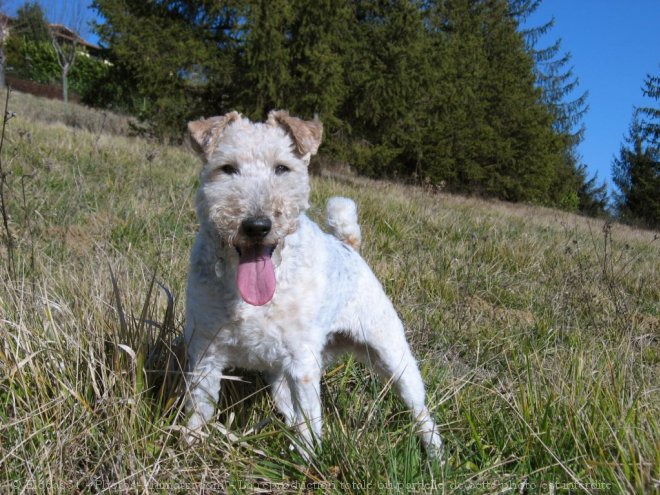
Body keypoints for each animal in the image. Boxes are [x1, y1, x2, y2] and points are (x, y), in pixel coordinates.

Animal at [183, 110, 440, 460]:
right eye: (227, 168)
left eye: (282, 168)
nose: (257, 226)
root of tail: (348, 245)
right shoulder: (206, 352)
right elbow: (200, 409)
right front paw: (188, 447)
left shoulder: (301, 361)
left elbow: (310, 419)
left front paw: (308, 462)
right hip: (280, 376)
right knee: (289, 411)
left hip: (393, 354)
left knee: (421, 411)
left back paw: (436, 457)